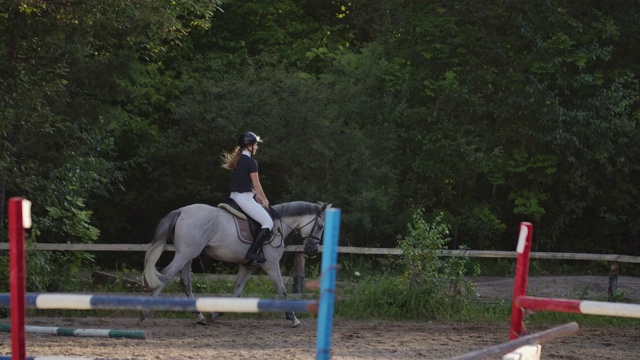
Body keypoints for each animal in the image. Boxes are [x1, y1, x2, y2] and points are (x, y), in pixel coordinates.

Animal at [140, 201, 330, 328]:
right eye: (321, 226)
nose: (313, 250)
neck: (278, 226)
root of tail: (181, 211)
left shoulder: (248, 266)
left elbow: (236, 294)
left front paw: (215, 315)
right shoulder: (271, 265)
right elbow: (282, 291)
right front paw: (294, 319)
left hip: (188, 255)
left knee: (185, 282)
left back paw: (200, 318)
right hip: (184, 254)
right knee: (165, 275)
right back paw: (146, 312)